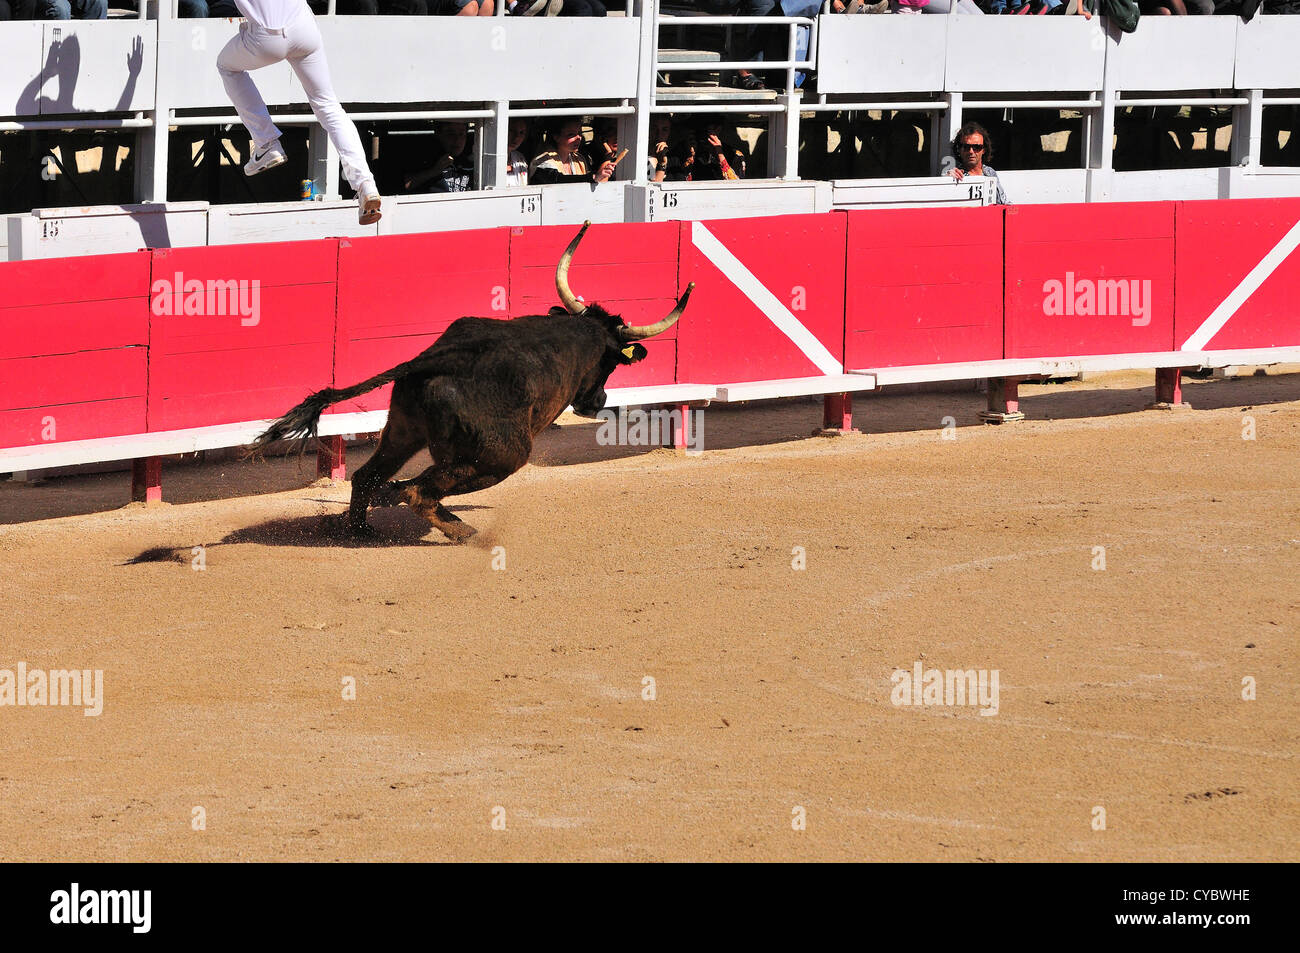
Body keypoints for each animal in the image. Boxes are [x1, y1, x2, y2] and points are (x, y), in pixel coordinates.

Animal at [257, 218, 696, 538]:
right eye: (610, 365)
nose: (597, 402)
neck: (581, 334)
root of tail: (435, 358)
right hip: (501, 454)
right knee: (418, 490)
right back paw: (460, 530)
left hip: (403, 427)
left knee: (370, 476)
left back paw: (362, 530)